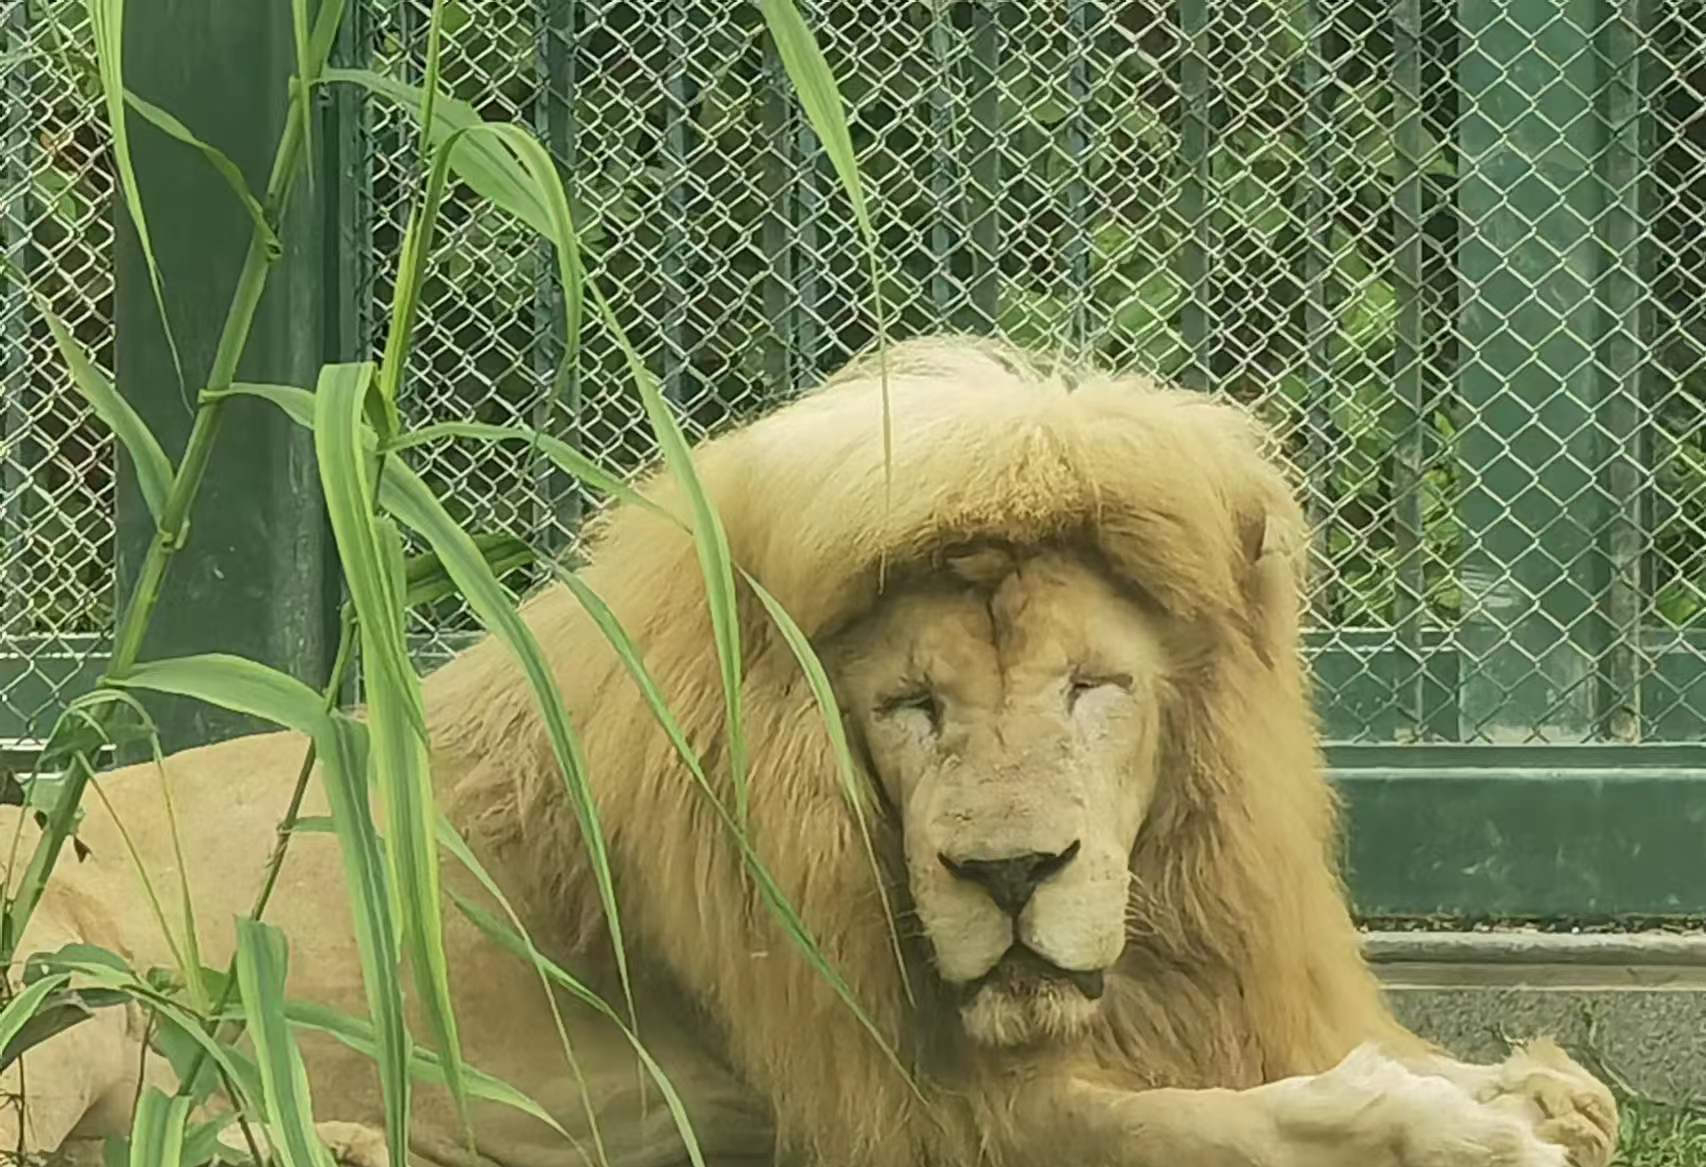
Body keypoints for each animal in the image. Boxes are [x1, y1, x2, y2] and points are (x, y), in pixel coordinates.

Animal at [3, 330, 1624, 1167]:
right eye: (908, 706)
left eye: (1094, 687)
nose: (1012, 873)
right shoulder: (904, 1117)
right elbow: (1205, 1124)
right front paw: (1458, 1126)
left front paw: (1520, 1084)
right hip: (71, 985)